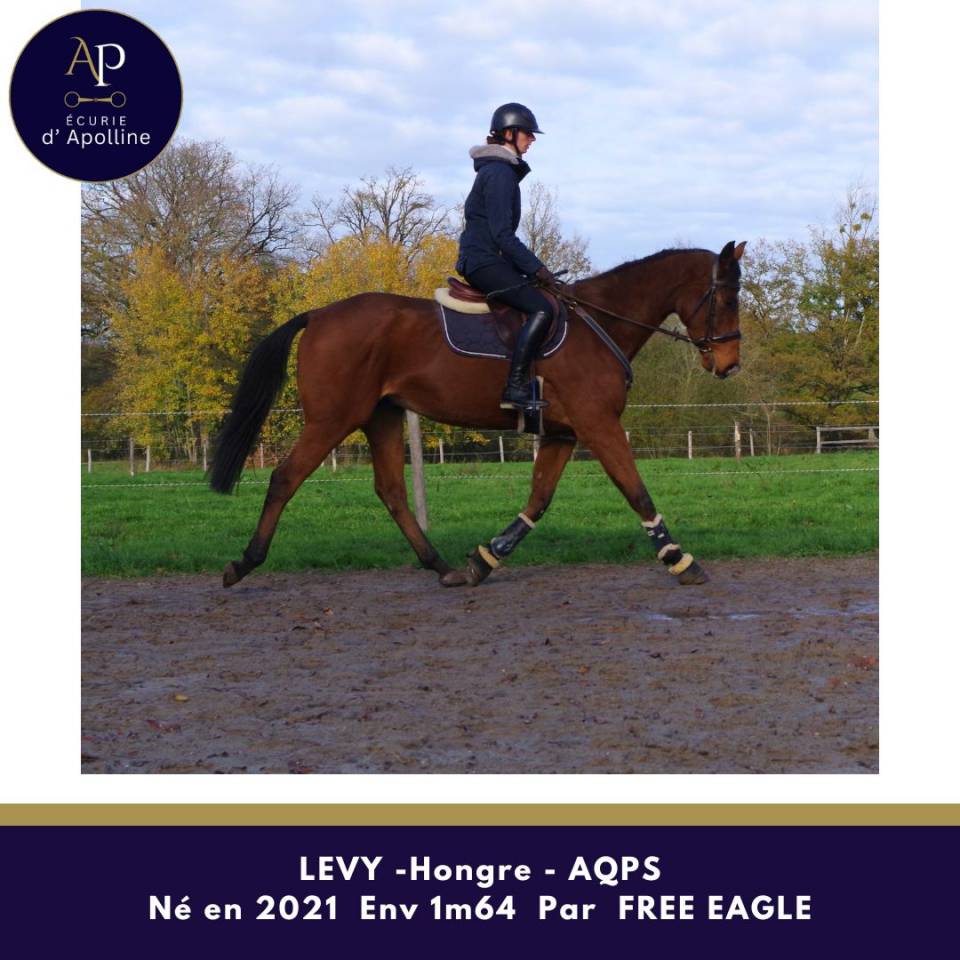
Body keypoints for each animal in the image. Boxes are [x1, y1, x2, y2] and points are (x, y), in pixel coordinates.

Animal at [209, 240, 746, 588]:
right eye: (726, 296)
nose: (729, 363)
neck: (599, 323)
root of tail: (318, 314)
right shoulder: (598, 425)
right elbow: (636, 490)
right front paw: (679, 559)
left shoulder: (562, 435)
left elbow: (537, 501)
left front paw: (486, 558)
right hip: (332, 419)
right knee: (285, 477)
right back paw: (244, 563)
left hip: (381, 417)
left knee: (391, 492)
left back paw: (440, 565)